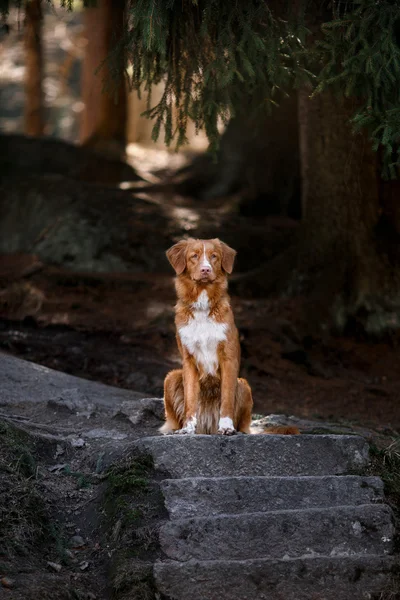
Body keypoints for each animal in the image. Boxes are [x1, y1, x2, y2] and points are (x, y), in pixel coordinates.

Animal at [160, 236, 252, 436]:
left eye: (214, 256)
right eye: (194, 256)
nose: (205, 269)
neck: (202, 306)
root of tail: (206, 427)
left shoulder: (229, 357)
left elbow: (227, 397)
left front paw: (226, 427)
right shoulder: (188, 359)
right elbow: (190, 399)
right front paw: (187, 428)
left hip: (244, 385)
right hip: (171, 377)